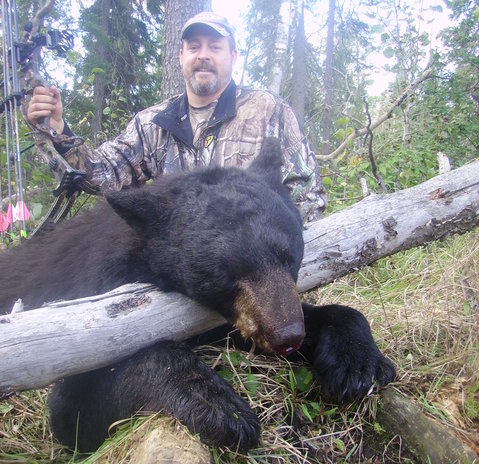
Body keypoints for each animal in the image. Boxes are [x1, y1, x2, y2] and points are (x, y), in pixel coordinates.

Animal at [0, 137, 396, 454]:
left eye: (289, 256)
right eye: (228, 274)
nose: (288, 337)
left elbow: (338, 315)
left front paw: (357, 362)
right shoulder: (85, 321)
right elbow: (76, 406)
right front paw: (222, 408)